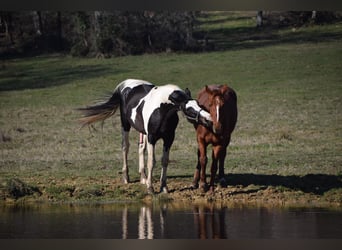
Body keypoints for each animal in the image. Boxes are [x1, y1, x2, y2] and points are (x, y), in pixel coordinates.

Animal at [79, 78, 212, 193]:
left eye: (199, 105)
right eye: (189, 109)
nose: (209, 119)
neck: (162, 109)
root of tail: (125, 84)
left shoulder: (169, 138)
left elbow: (164, 161)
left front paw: (163, 187)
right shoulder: (152, 137)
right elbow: (151, 162)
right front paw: (150, 188)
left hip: (143, 132)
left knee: (141, 148)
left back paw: (143, 177)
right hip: (125, 125)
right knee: (125, 147)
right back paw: (126, 177)